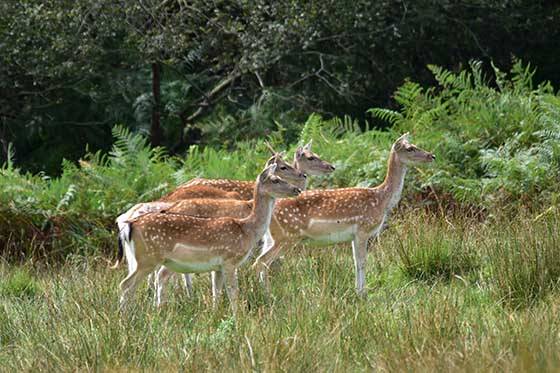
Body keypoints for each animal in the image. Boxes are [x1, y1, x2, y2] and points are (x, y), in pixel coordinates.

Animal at [116, 164, 302, 312]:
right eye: (275, 179)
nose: (297, 189)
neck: (247, 230)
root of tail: (129, 226)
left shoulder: (217, 266)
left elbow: (216, 292)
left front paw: (214, 314)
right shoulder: (229, 260)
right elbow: (233, 293)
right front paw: (238, 319)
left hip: (142, 260)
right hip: (147, 259)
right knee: (126, 285)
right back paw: (125, 318)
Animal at [252, 132, 436, 294]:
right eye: (410, 148)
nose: (432, 156)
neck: (382, 199)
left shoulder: (354, 235)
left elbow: (355, 262)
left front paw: (357, 291)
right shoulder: (363, 229)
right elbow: (362, 262)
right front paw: (362, 294)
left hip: (272, 237)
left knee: (262, 262)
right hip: (287, 236)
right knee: (261, 262)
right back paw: (265, 296)